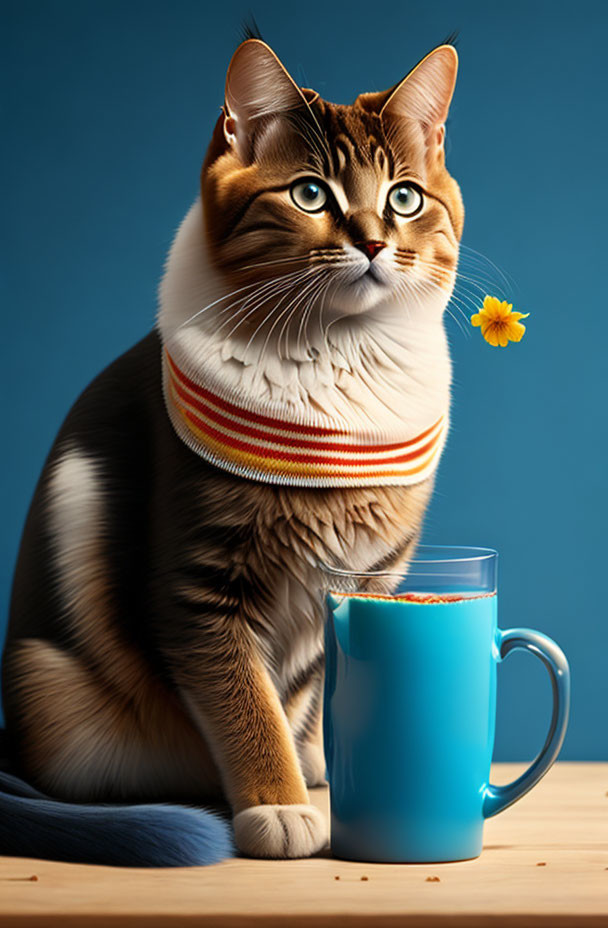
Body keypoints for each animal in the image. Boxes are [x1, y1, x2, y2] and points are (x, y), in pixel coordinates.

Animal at [0, 32, 464, 868]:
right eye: (310, 194)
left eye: (405, 198)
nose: (375, 242)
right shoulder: (202, 587)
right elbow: (246, 702)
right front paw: (277, 803)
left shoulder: (366, 576)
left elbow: (305, 690)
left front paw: (310, 769)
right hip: (52, 681)